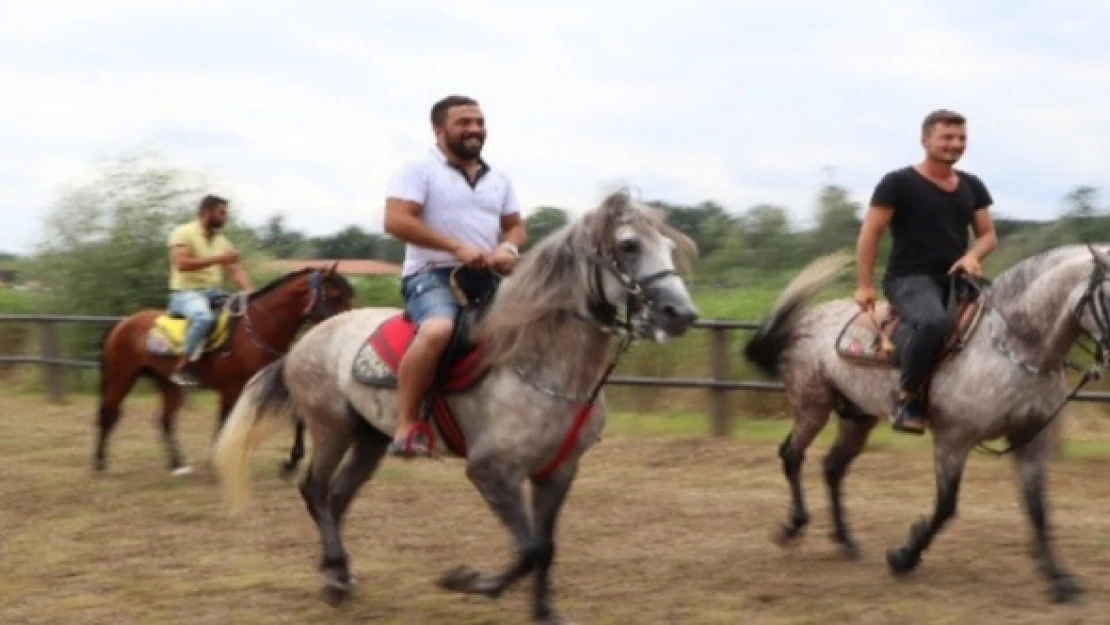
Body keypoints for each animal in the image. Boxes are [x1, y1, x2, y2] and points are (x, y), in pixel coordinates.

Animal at [97, 264, 355, 475]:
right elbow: (223, 423)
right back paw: (100, 464)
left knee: (165, 420)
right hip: (122, 377)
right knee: (109, 414)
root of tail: (122, 323)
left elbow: (297, 417)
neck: (257, 330)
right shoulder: (231, 389)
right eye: (334, 295)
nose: (347, 328)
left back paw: (178, 464)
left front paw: (290, 462)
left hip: (168, 383)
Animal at [208, 190, 697, 625]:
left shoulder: (558, 471)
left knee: (337, 497)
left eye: (669, 246)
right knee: (315, 490)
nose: (681, 314)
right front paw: (467, 581)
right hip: (332, 427)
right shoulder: (491, 472)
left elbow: (545, 546)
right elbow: (531, 549)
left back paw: (341, 573)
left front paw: (544, 613)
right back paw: (333, 580)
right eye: (628, 245)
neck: (538, 365)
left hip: (370, 438)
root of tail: (304, 342)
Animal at [745, 245, 1110, 608]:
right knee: (792, 455)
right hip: (812, 407)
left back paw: (845, 541)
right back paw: (793, 526)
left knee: (833, 467)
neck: (1015, 346)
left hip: (857, 417)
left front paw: (1059, 579)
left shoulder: (1032, 439)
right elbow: (946, 506)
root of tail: (807, 320)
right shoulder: (953, 439)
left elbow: (1038, 509)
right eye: (1107, 293)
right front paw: (903, 556)